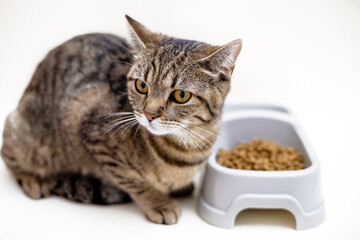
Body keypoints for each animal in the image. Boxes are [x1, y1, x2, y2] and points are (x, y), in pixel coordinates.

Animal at [1, 15, 242, 224]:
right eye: (142, 85)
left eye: (181, 95)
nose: (149, 114)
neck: (186, 148)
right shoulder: (93, 130)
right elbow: (134, 181)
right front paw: (159, 203)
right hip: (27, 137)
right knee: (8, 152)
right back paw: (33, 179)